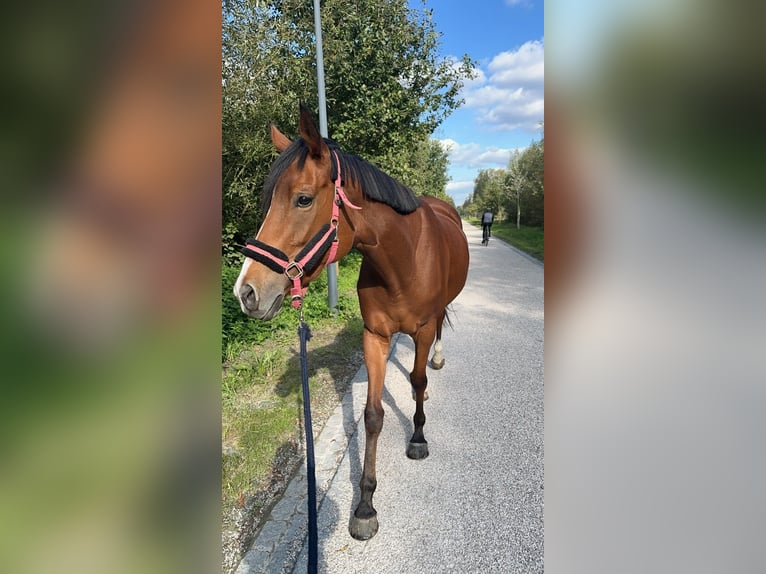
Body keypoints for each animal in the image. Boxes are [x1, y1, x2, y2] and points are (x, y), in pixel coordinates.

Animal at [234, 106, 472, 544]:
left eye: (303, 198)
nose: (247, 292)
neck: (402, 261)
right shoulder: (374, 337)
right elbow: (373, 415)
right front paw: (364, 506)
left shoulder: (421, 330)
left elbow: (416, 381)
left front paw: (417, 437)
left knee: (431, 351)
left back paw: (436, 362)